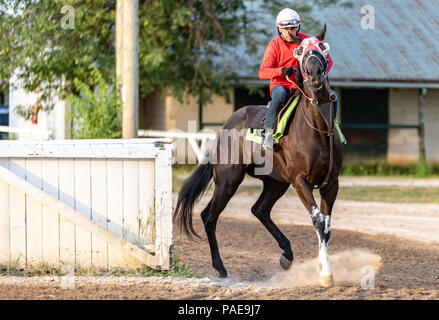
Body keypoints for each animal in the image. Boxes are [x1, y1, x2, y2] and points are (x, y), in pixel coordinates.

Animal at [174, 23, 344, 286]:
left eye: (322, 48)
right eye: (300, 52)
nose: (315, 72)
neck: (317, 129)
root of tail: (227, 125)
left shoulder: (330, 183)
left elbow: (325, 227)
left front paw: (321, 266)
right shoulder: (301, 181)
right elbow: (317, 219)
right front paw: (326, 274)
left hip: (276, 182)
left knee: (259, 210)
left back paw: (287, 253)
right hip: (228, 180)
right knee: (209, 216)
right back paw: (220, 267)